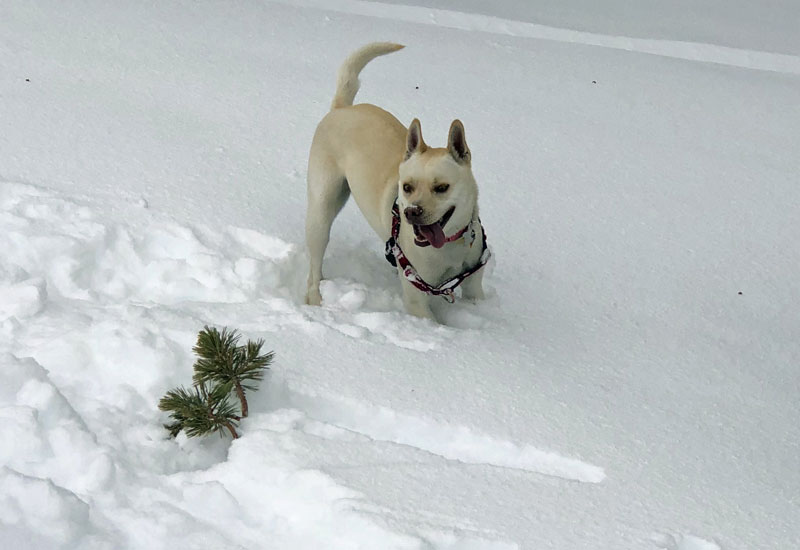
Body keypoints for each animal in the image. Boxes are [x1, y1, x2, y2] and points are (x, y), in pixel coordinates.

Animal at [304, 43, 484, 322]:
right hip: (322, 210)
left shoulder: (475, 285)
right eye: (406, 187)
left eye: (442, 188)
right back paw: (315, 297)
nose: (412, 212)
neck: (450, 245)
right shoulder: (417, 298)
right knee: (314, 263)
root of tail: (341, 108)